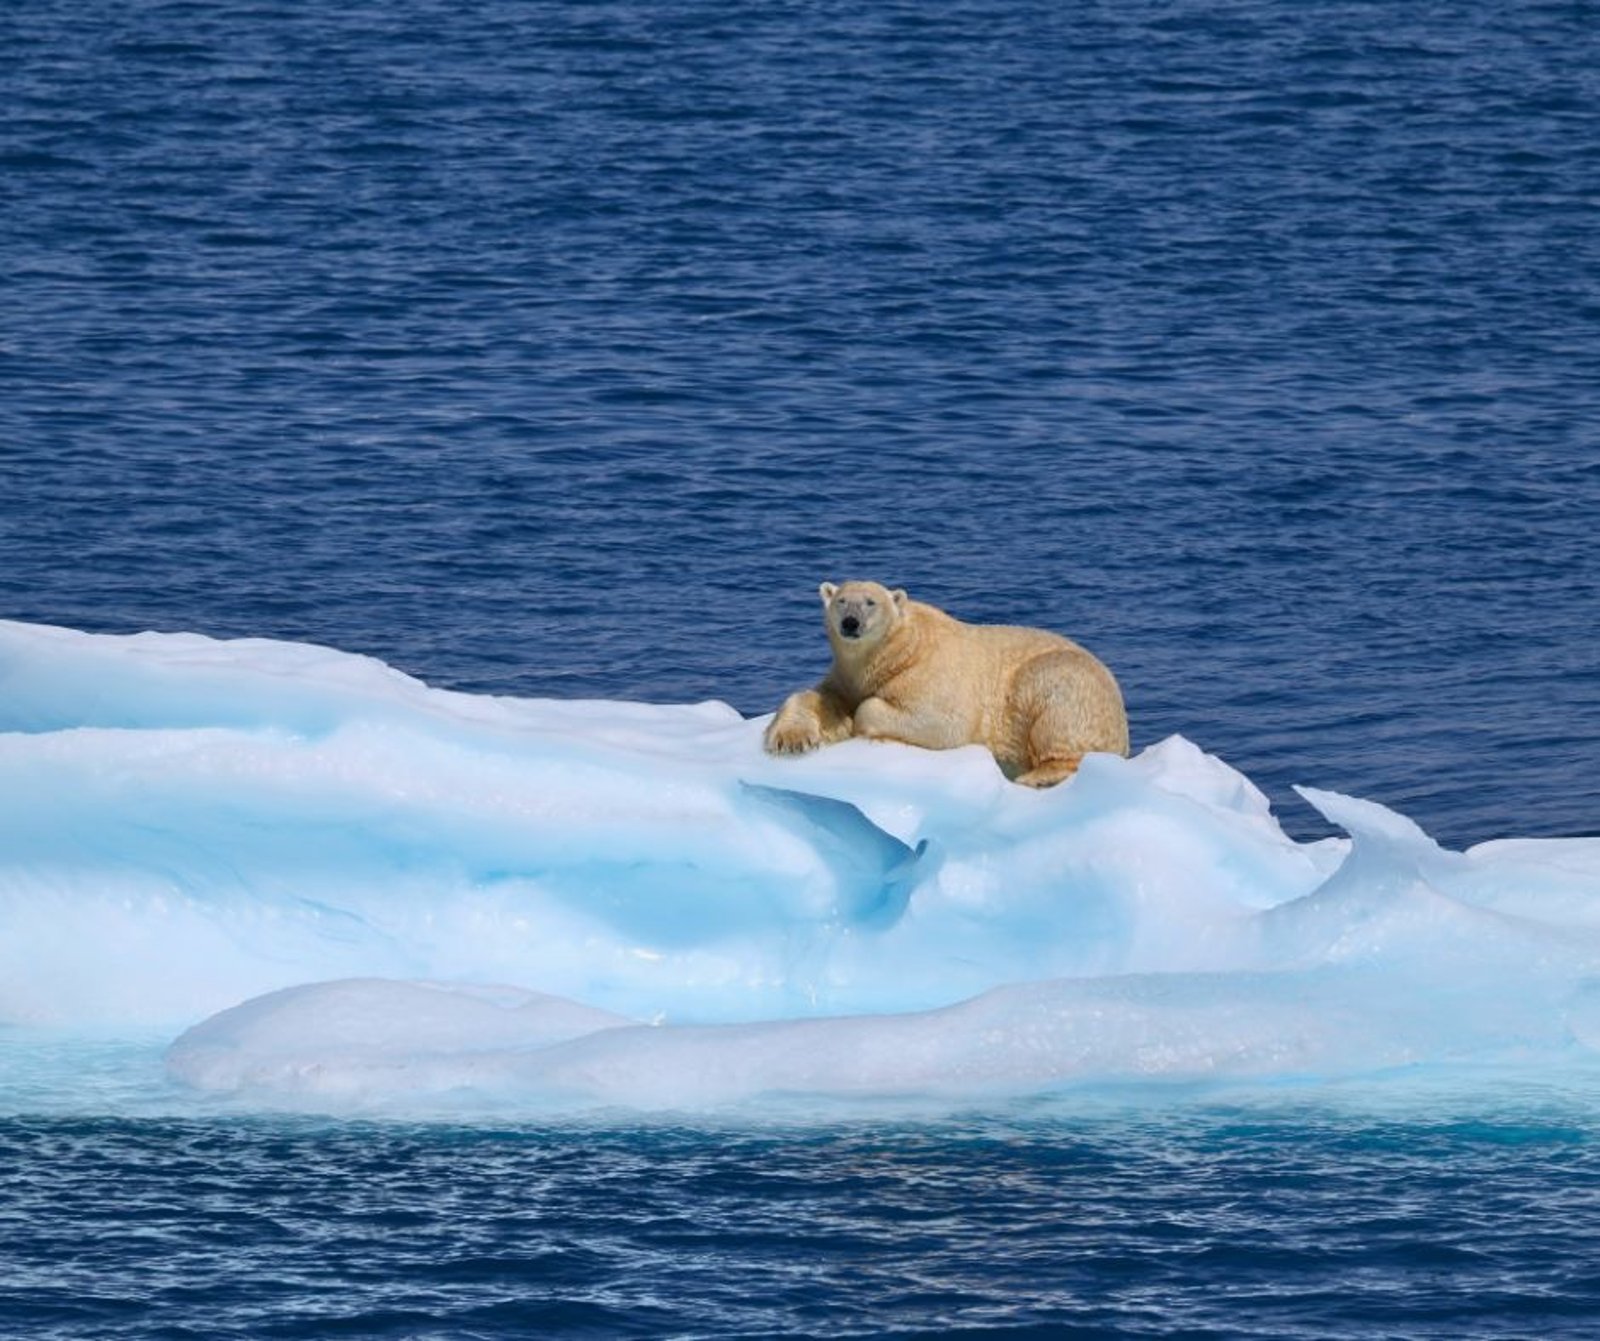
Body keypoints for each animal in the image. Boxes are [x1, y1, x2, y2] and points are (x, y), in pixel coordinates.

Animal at [763, 580, 1129, 786]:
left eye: (870, 602)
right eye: (841, 601)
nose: (851, 623)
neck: (895, 653)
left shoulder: (931, 673)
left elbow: (940, 722)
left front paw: (860, 723)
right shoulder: (846, 677)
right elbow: (815, 699)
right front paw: (793, 740)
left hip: (1066, 682)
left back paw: (1037, 776)